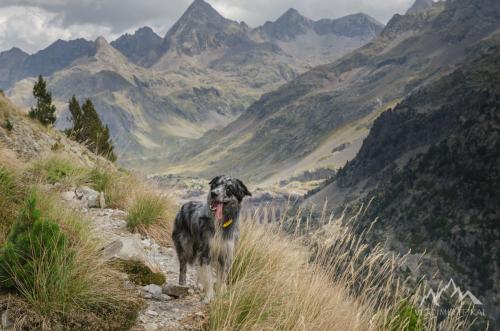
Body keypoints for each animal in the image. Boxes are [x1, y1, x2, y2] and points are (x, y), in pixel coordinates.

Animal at [173, 176, 252, 304]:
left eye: (229, 188)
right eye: (215, 184)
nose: (213, 193)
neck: (220, 222)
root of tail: (185, 205)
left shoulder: (226, 254)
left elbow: (222, 278)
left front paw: (221, 294)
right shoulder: (206, 251)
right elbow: (209, 278)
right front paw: (209, 297)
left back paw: (199, 284)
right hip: (185, 248)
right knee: (183, 268)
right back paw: (182, 286)